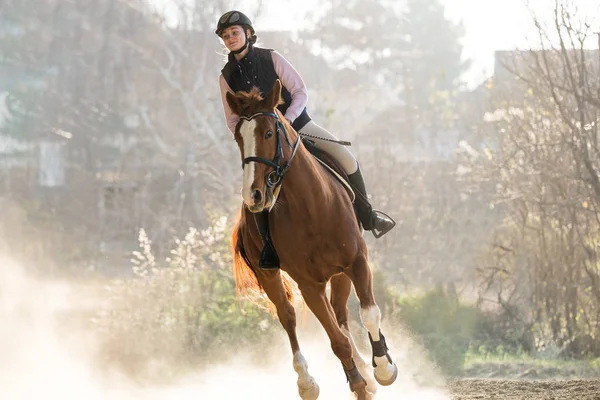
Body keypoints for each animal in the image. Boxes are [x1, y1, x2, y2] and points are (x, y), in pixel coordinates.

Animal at [227, 79, 396, 400]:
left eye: (268, 133)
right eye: (238, 139)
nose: (254, 195)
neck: (312, 206)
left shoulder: (356, 261)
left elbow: (369, 314)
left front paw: (382, 369)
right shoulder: (308, 285)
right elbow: (336, 341)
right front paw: (358, 382)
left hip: (339, 273)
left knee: (341, 315)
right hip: (271, 275)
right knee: (288, 316)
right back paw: (308, 381)